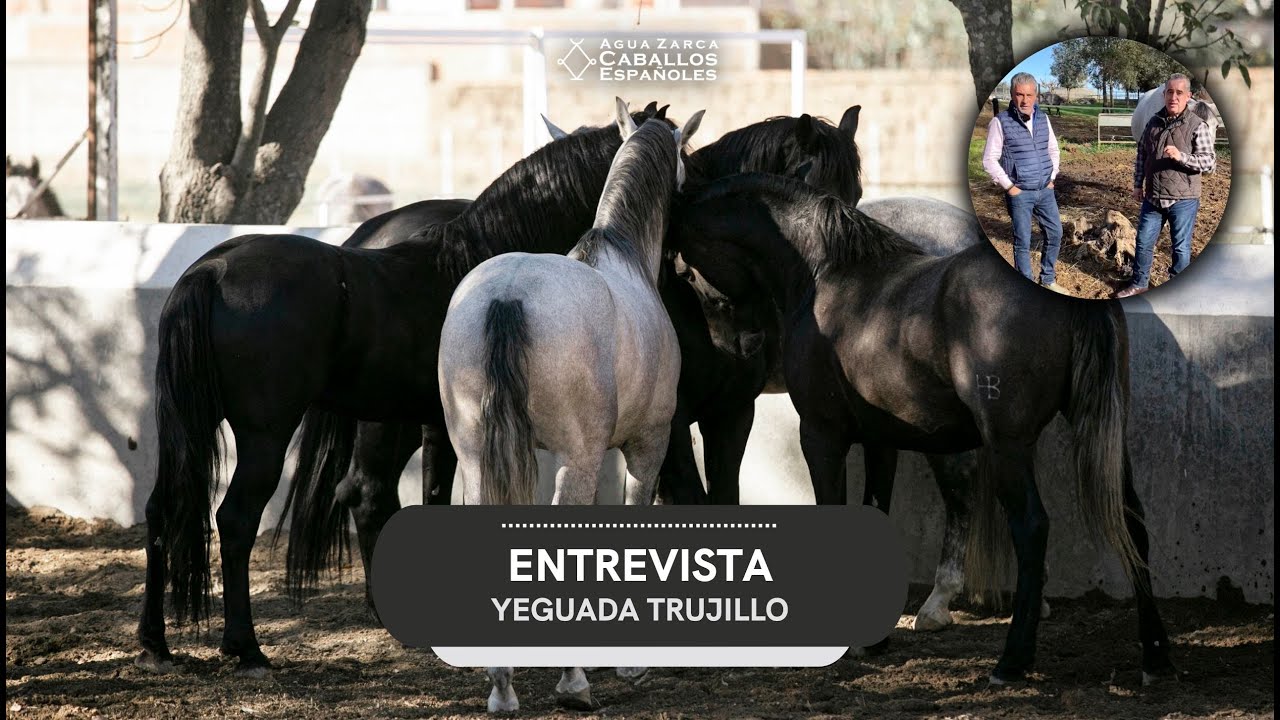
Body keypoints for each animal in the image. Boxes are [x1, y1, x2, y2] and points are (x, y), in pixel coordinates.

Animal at [137, 101, 673, 677]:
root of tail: (212, 271)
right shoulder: (444, 425)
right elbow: (437, 497)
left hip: (194, 424)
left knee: (164, 508)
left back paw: (155, 641)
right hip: (267, 434)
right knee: (241, 518)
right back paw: (246, 646)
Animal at [438, 101, 701, 712]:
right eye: (688, 158)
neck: (623, 256)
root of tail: (507, 296)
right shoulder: (645, 445)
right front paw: (628, 665)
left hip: (478, 461)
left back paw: (502, 685)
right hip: (577, 460)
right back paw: (573, 680)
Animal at [668, 173, 1176, 686]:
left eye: (685, 268)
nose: (742, 345)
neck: (824, 274)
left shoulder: (820, 436)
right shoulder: (880, 441)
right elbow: (872, 512)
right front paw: (872, 640)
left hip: (1007, 447)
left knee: (1031, 527)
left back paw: (1011, 660)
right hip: (1101, 431)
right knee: (1133, 521)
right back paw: (1154, 657)